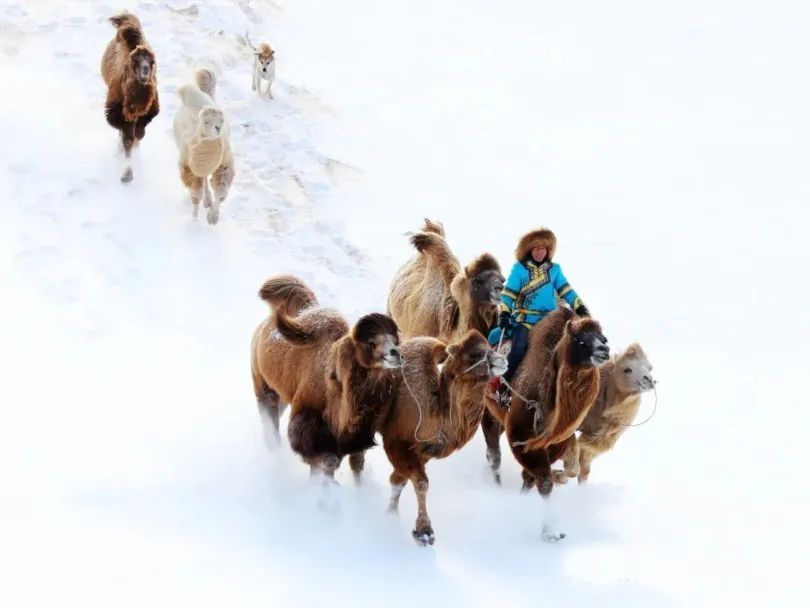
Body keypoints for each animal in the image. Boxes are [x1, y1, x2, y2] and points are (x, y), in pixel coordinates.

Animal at [251, 276, 402, 480]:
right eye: (371, 343)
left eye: (394, 341)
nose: (396, 354)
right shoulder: (308, 425)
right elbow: (325, 460)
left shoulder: (354, 437)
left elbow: (356, 461)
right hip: (263, 386)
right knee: (269, 416)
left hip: (282, 394)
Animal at [382, 332, 508, 548]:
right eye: (474, 355)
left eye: (488, 346)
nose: (503, 361)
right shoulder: (396, 441)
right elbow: (421, 482)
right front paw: (424, 532)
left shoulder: (421, 451)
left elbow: (399, 480)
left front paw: (391, 514)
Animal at [480, 308, 608, 540]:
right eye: (580, 339)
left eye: (603, 337)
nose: (604, 350)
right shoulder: (520, 436)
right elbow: (544, 481)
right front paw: (549, 532)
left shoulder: (555, 442)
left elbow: (534, 478)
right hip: (489, 411)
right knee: (493, 452)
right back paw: (496, 486)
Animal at [552, 344, 652, 482]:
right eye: (627, 369)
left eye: (650, 368)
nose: (649, 380)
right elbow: (574, 465)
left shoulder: (593, 440)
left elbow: (583, 470)